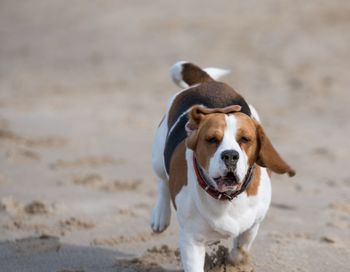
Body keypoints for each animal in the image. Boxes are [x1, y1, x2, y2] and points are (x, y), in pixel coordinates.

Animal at [150, 61, 296, 272]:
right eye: (212, 139)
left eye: (245, 139)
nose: (230, 156)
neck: (226, 198)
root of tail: (206, 82)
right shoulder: (191, 240)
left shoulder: (254, 223)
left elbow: (241, 248)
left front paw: (232, 262)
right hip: (157, 157)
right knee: (162, 181)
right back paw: (160, 216)